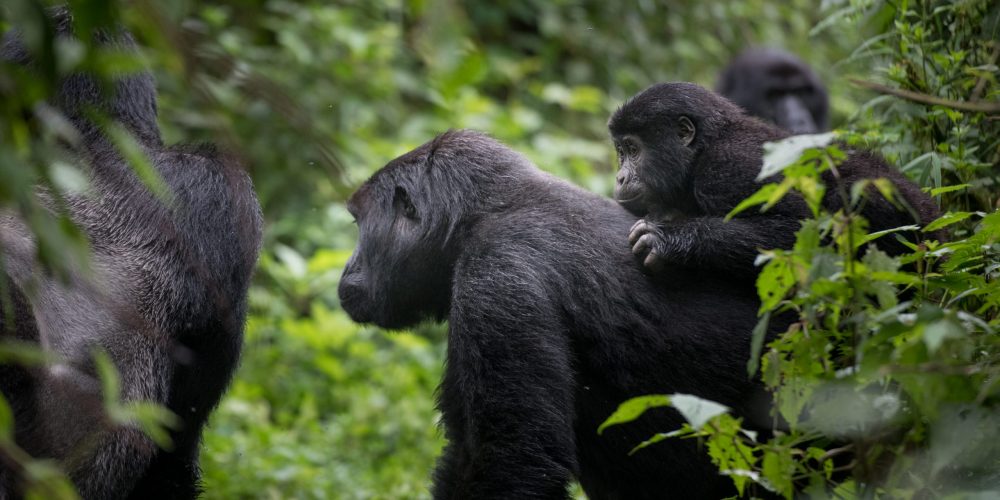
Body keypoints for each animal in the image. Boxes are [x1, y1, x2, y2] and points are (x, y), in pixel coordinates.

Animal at [608, 81, 944, 278]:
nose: (620, 177)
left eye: (634, 150)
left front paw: (669, 239)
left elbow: (801, 228)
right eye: (621, 152)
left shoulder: (728, 168)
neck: (705, 147)